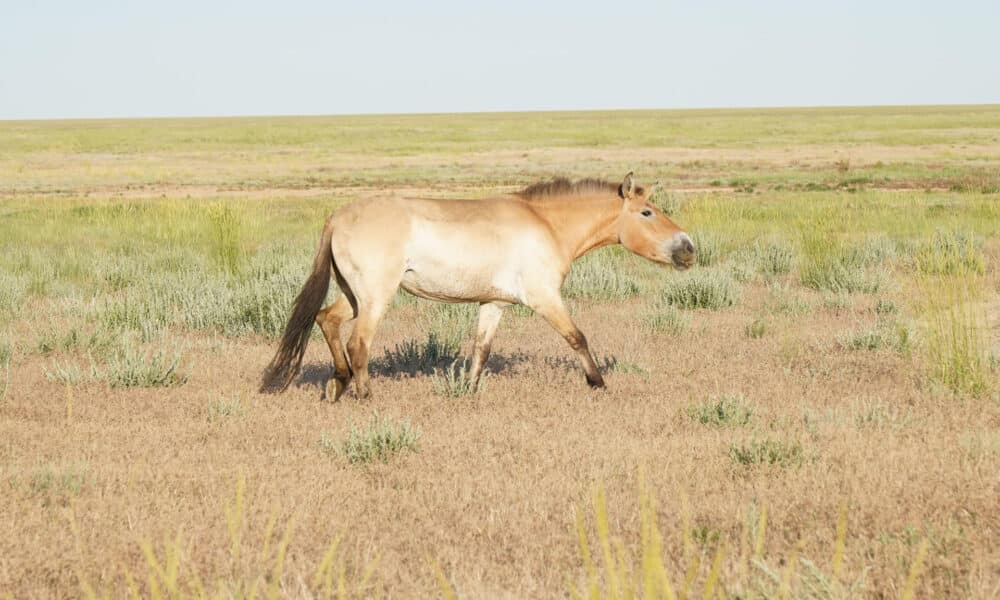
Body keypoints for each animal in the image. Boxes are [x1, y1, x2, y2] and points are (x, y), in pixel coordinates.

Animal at [260, 171, 696, 400]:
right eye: (647, 212)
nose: (689, 248)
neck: (547, 225)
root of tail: (337, 217)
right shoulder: (544, 298)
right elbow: (578, 338)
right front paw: (598, 382)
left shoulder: (494, 304)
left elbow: (481, 349)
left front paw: (467, 390)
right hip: (375, 297)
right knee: (358, 343)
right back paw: (364, 395)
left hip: (353, 295)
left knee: (326, 320)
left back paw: (338, 383)